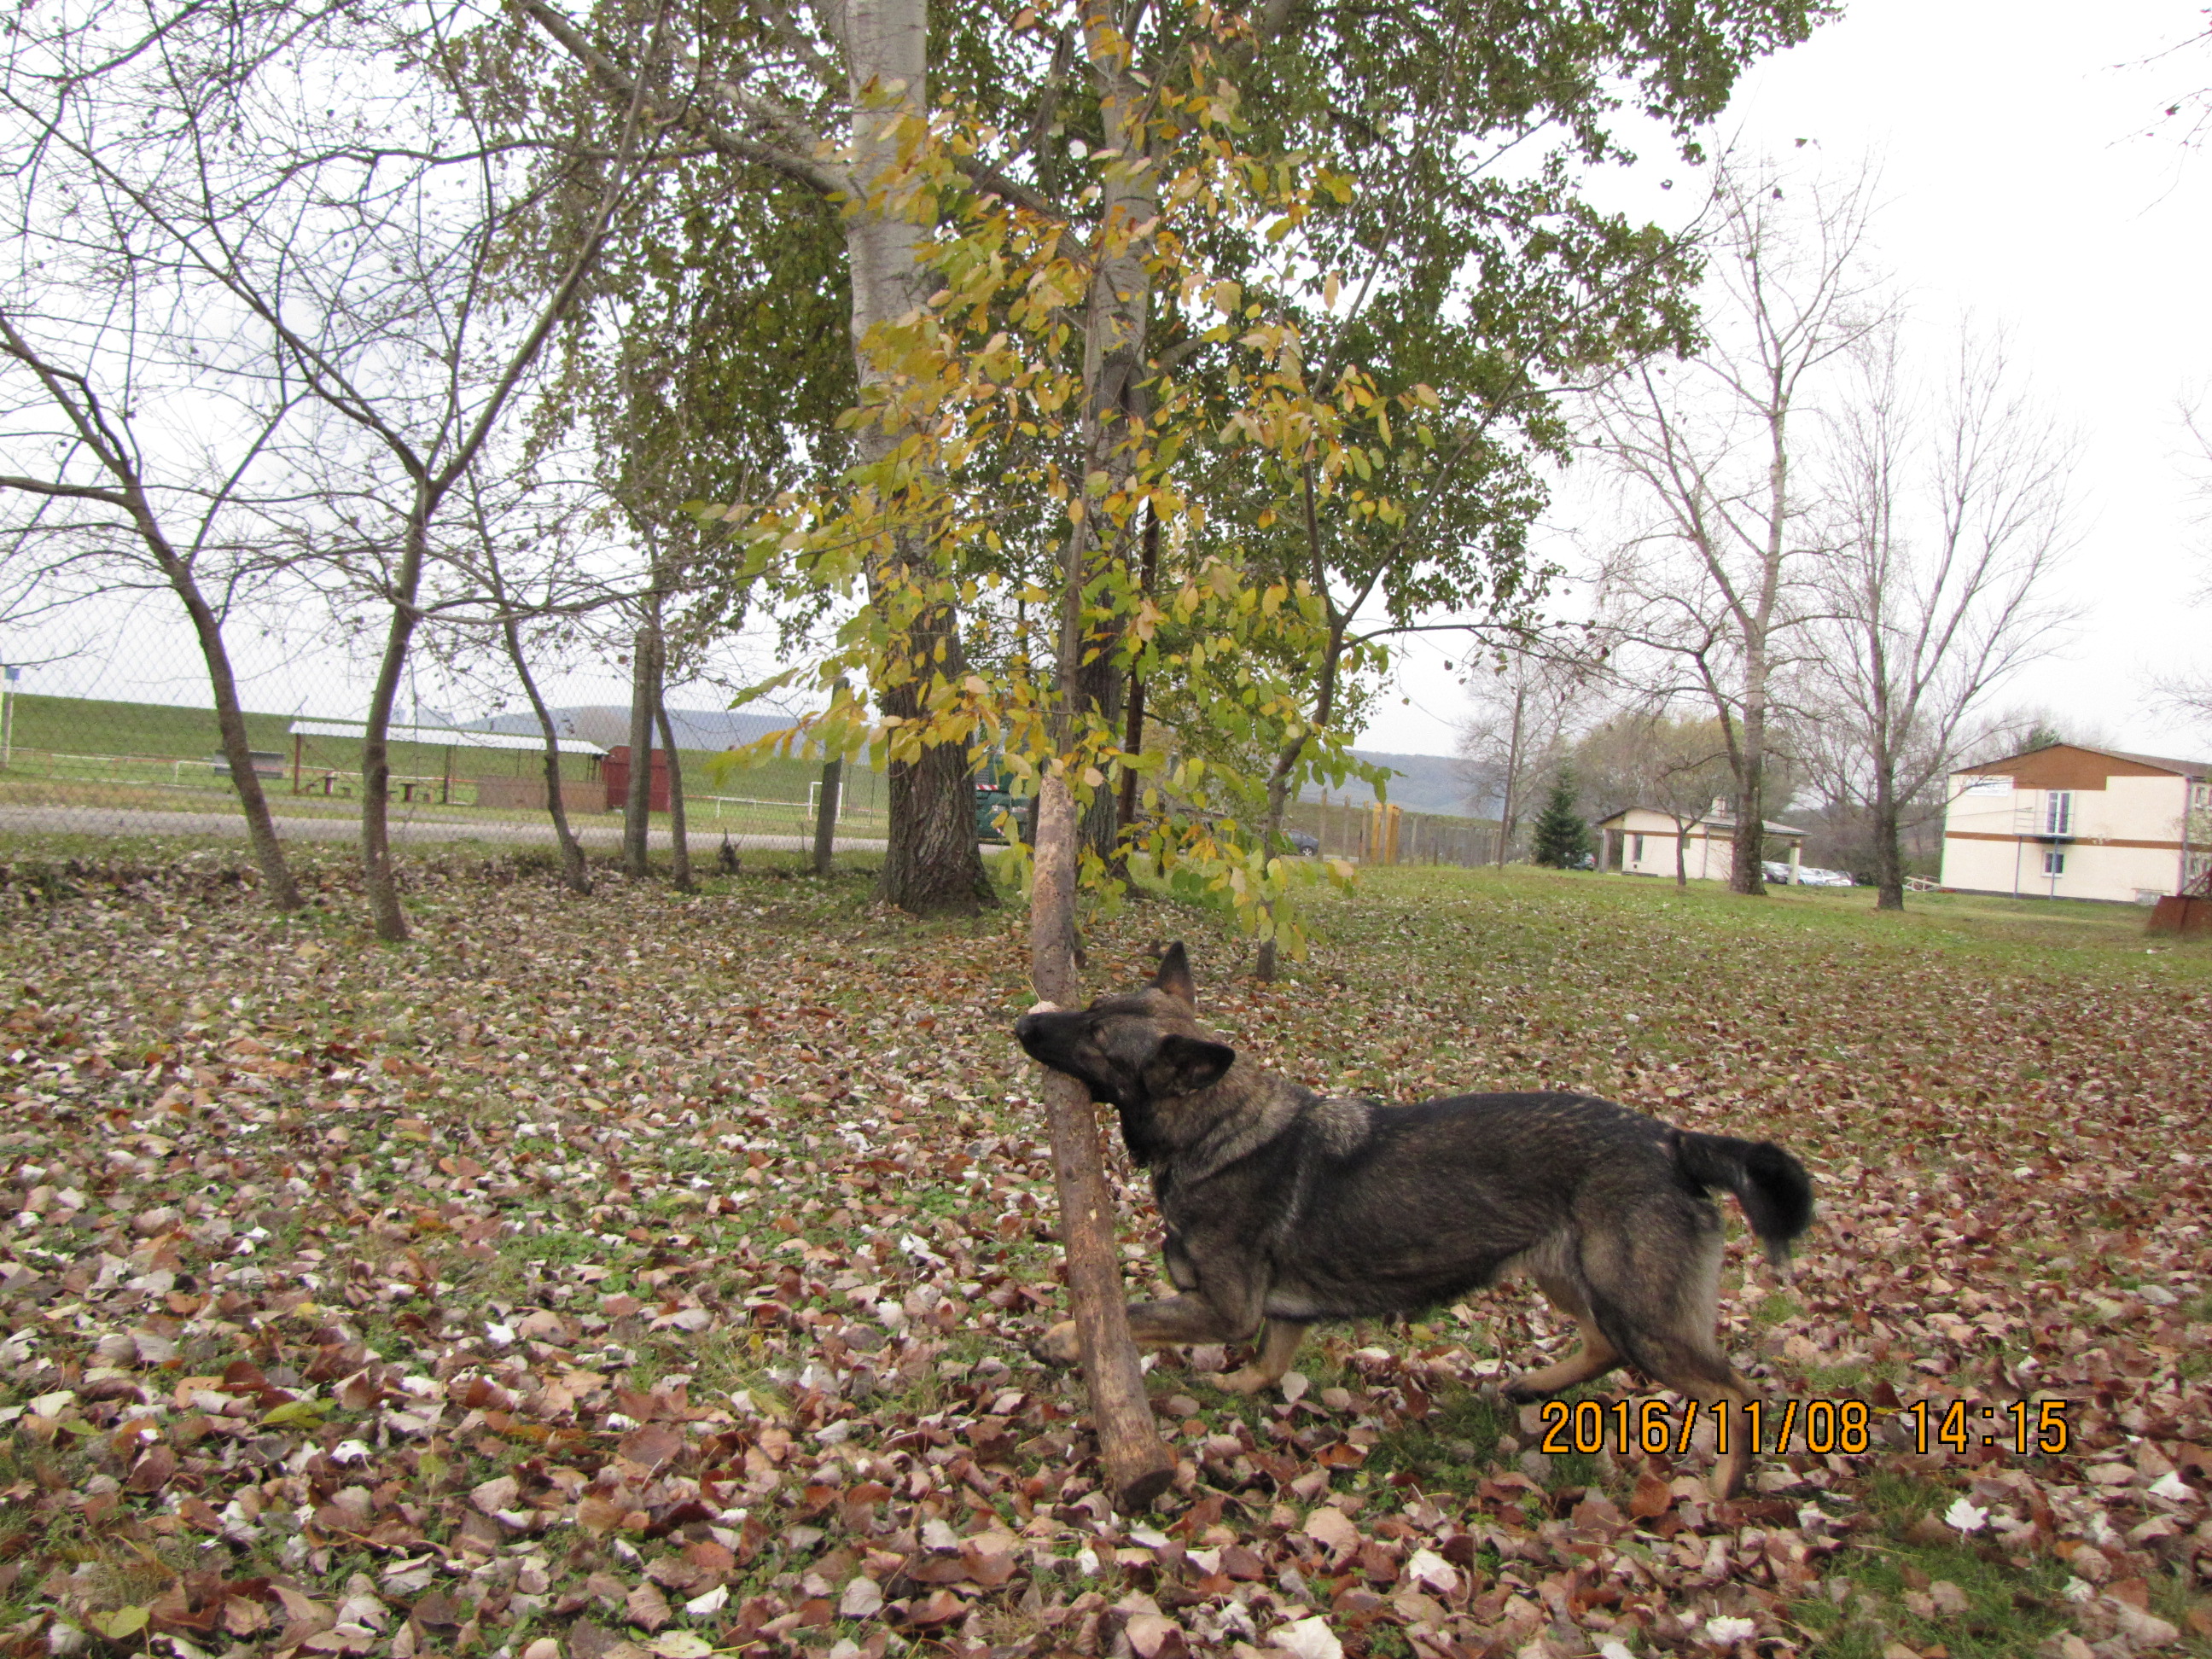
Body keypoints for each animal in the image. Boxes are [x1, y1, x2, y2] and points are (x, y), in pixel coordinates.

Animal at [1017, 942, 1813, 1504]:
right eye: (1089, 1007)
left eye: (1095, 1034)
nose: (1025, 1019)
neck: (1213, 1127)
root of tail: (1675, 1142)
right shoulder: (1275, 1312)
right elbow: (1271, 1361)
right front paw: (1243, 1388)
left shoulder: (1225, 1308)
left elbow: (1128, 1312)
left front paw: (1062, 1336)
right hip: (1573, 1278)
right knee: (1600, 1345)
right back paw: (1534, 1387)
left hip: (1642, 1311)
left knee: (1740, 1395)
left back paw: (1723, 1489)